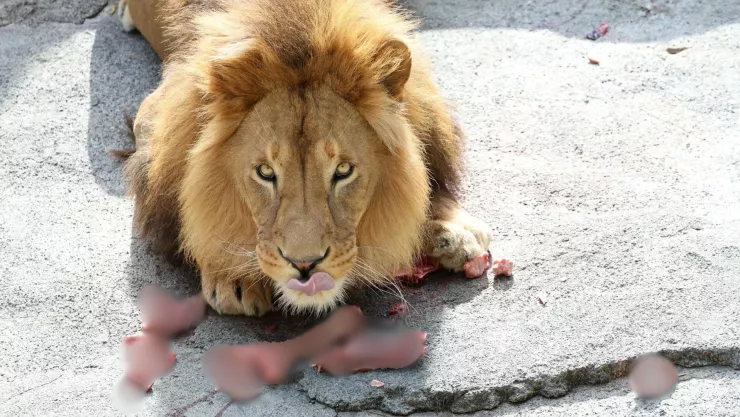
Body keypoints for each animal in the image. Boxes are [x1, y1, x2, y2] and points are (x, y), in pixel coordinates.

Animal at [117, 0, 493, 316]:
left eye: (343, 170)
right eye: (265, 172)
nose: (305, 266)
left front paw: (452, 228)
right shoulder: (151, 116)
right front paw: (232, 276)